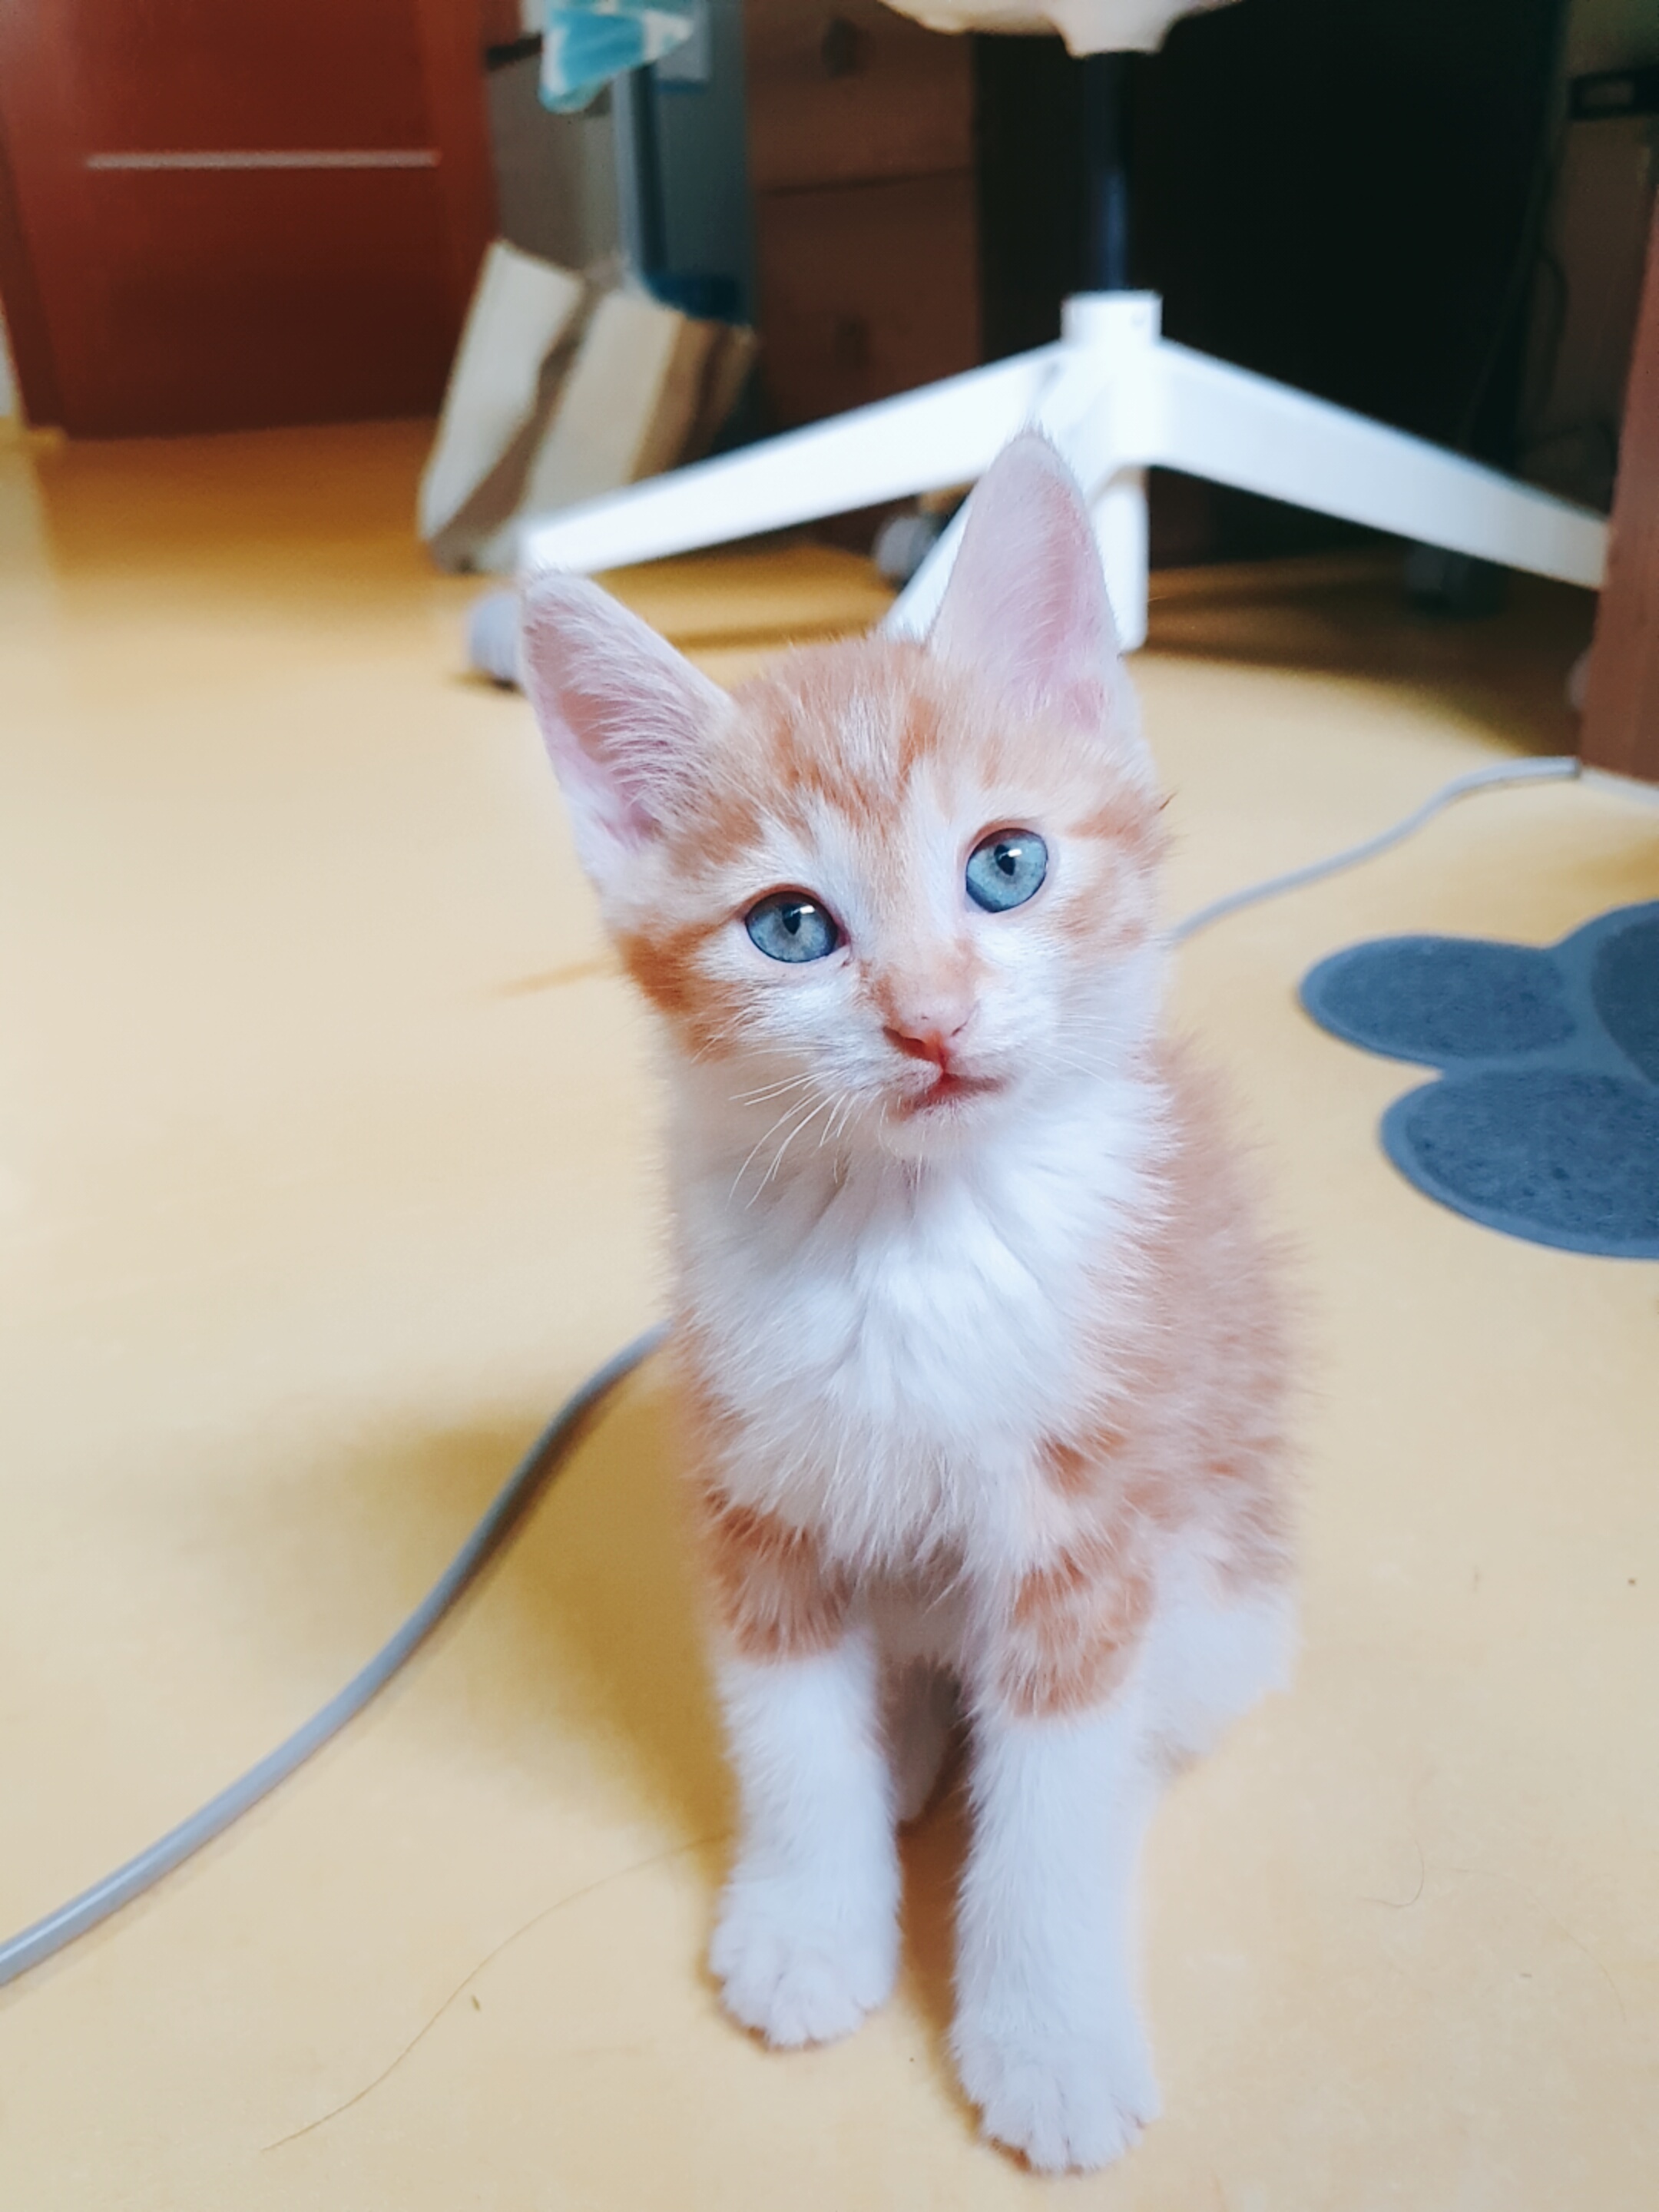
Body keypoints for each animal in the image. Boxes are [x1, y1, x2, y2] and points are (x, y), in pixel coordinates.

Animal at [520, 433, 1294, 2172]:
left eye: (1006, 865)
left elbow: (1061, 1797)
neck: (915, 1242)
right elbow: (787, 1733)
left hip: (1230, 1585)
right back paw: (911, 1747)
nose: (932, 1020)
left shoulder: (1095, 1528)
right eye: (790, 926)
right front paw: (812, 1922)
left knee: (1142, 1727)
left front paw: (1048, 2032)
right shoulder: (756, 1488)